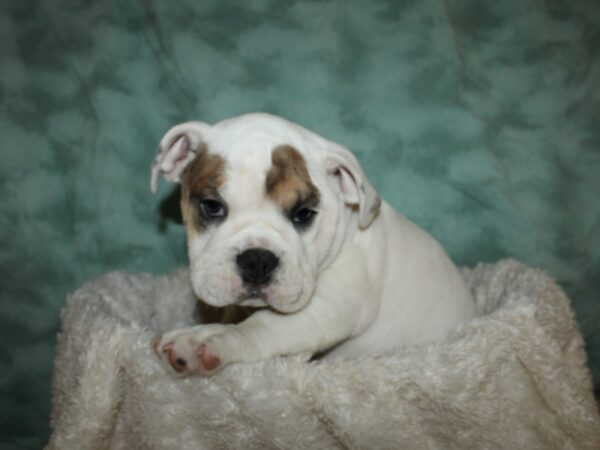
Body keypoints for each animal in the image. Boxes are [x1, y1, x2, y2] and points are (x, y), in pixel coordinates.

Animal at [150, 112, 474, 376]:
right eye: (212, 206)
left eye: (304, 213)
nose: (257, 259)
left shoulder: (331, 304)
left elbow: (264, 325)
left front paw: (209, 338)